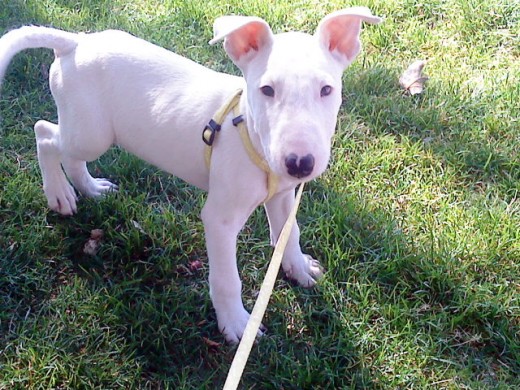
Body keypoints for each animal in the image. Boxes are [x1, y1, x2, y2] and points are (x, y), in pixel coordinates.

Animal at [0, 6, 382, 342]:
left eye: (326, 90)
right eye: (267, 90)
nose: (299, 163)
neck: (249, 132)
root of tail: (75, 42)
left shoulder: (284, 195)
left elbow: (290, 233)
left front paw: (299, 268)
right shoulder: (220, 219)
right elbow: (227, 279)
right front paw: (236, 325)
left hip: (87, 132)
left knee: (66, 151)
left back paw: (90, 188)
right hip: (90, 134)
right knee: (45, 134)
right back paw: (59, 194)